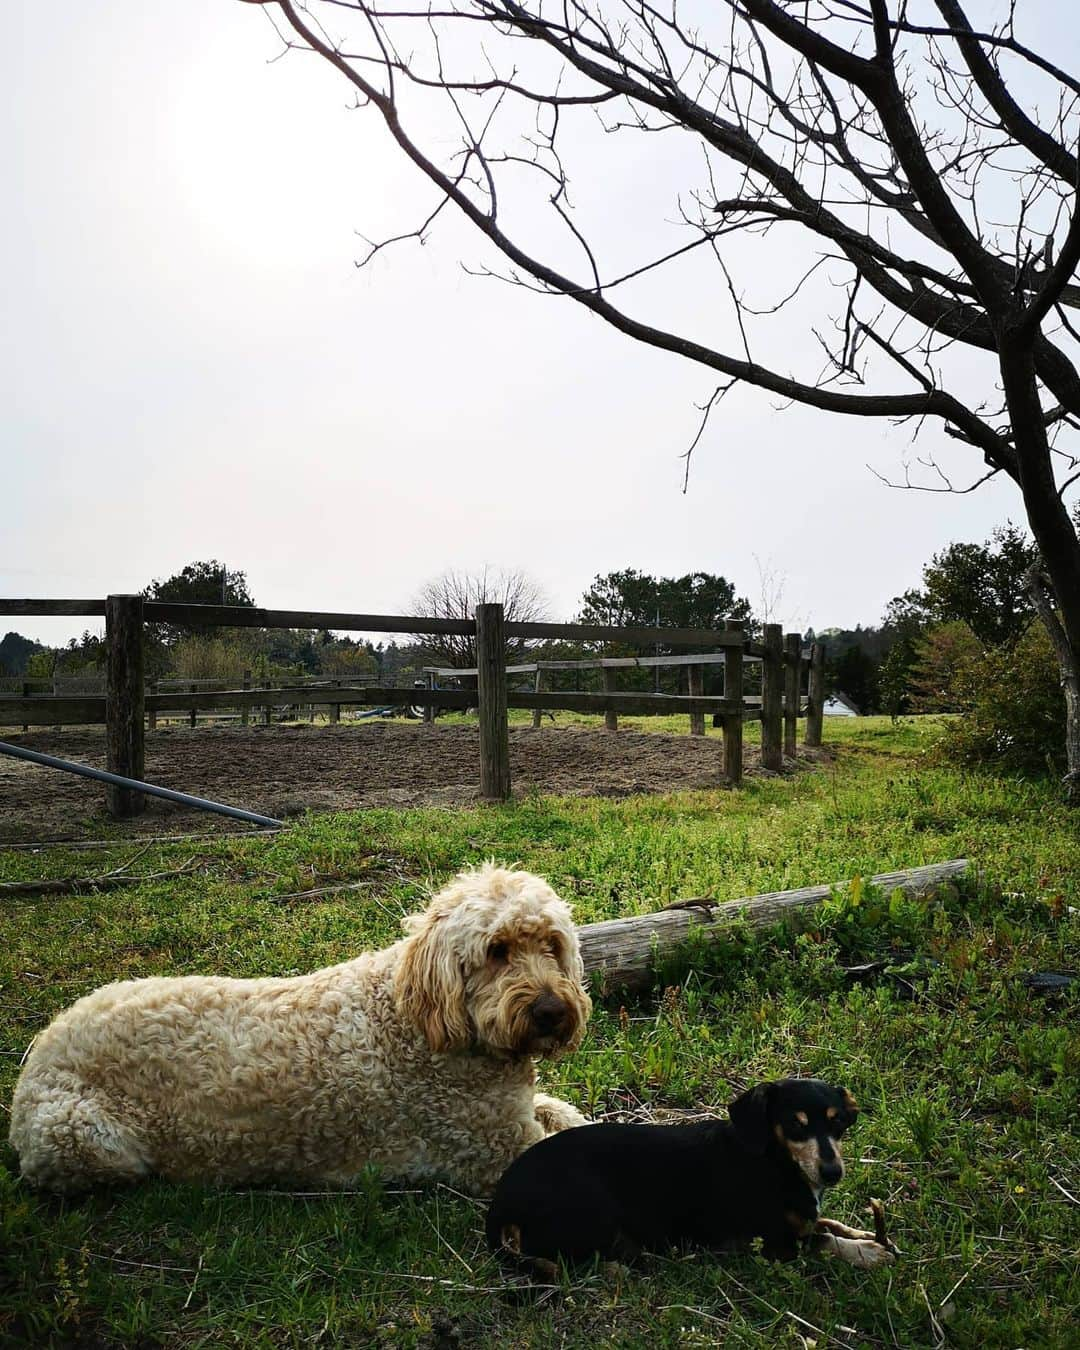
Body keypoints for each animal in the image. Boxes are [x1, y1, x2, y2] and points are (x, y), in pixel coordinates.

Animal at [8, 864, 591, 1193]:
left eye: (552, 945)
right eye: (496, 951)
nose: (551, 1011)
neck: (417, 1017)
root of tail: (40, 1049)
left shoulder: (514, 1114)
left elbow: (564, 1112)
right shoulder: (494, 1146)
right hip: (85, 1134)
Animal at [486, 1080, 896, 1269]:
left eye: (838, 1122)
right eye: (796, 1125)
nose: (832, 1172)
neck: (774, 1161)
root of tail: (502, 1200)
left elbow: (824, 1222)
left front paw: (863, 1233)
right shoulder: (770, 1242)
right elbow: (819, 1240)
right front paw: (867, 1251)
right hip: (594, 1207)